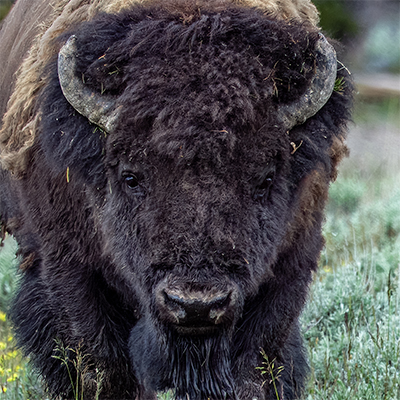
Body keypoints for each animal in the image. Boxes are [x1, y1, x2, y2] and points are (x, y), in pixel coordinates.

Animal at [0, 0, 352, 398]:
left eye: (265, 179)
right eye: (131, 177)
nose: (196, 304)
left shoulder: (290, 266)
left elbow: (257, 364)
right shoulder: (71, 269)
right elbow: (103, 365)